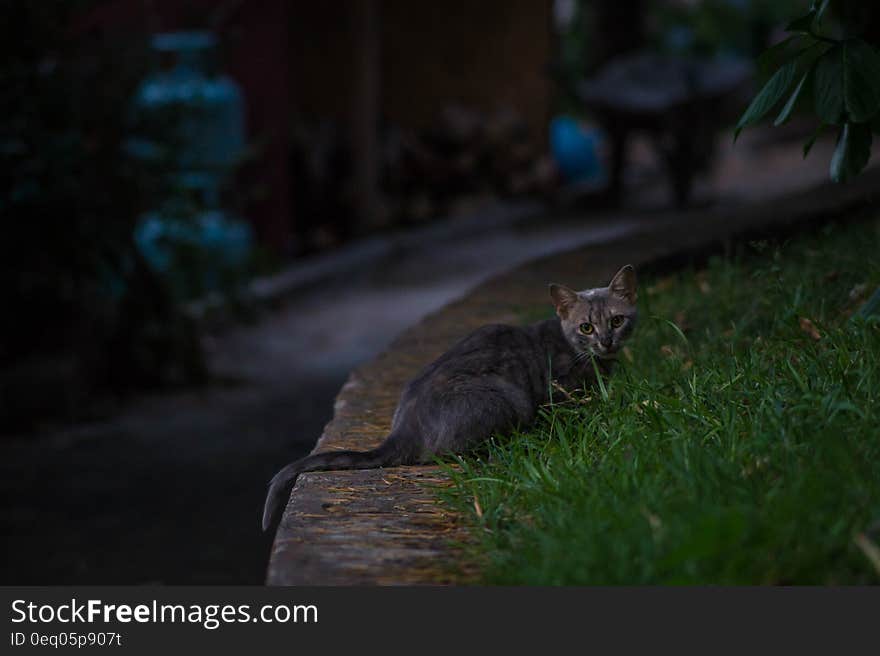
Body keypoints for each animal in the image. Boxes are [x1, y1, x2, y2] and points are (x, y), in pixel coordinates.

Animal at [262, 264, 640, 532]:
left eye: (617, 321)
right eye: (586, 327)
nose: (606, 341)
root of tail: (402, 429)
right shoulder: (560, 392)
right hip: (506, 397)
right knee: (449, 452)